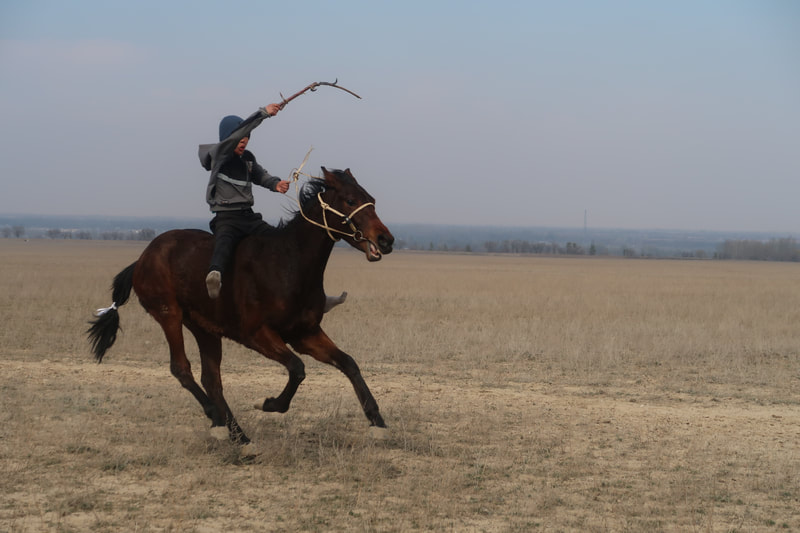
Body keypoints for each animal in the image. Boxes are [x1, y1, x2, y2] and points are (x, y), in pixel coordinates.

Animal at [87, 167, 394, 444]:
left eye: (371, 199)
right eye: (350, 200)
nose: (386, 239)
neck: (289, 263)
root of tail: (141, 260)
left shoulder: (304, 333)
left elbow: (348, 363)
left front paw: (377, 423)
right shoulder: (257, 334)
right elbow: (297, 368)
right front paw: (268, 403)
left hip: (204, 328)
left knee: (211, 378)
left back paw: (235, 434)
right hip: (169, 315)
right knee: (182, 369)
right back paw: (219, 421)